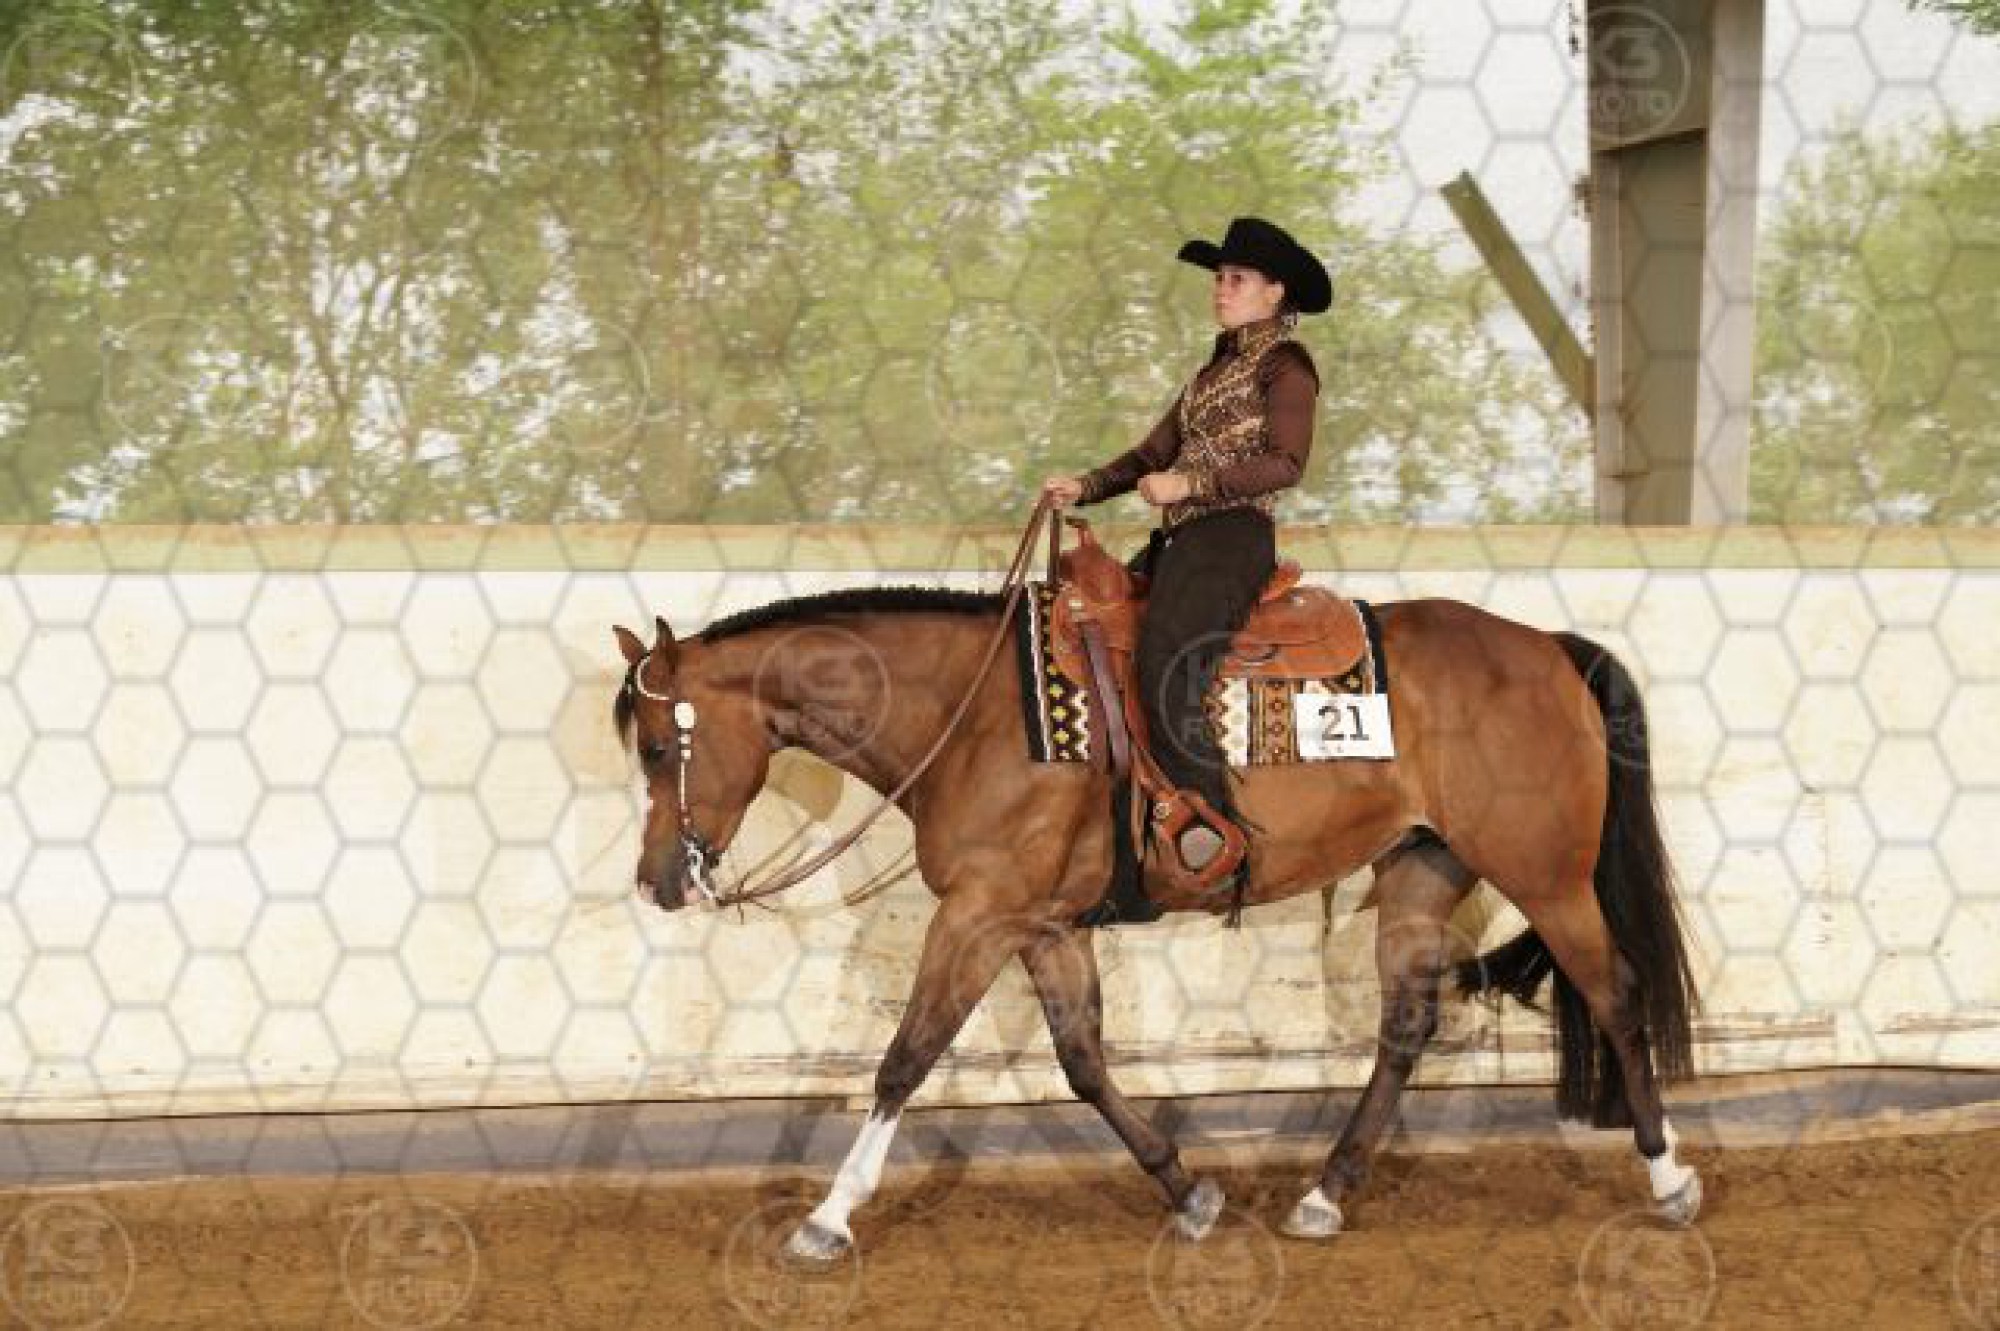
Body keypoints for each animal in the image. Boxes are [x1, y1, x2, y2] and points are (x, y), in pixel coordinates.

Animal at [609, 520, 1703, 1262]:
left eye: (660, 746)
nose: (658, 879)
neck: (971, 710)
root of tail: (1548, 646)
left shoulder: (978, 914)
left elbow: (904, 1059)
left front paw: (827, 1218)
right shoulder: (1043, 923)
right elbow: (1084, 1061)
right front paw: (1188, 1192)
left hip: (1546, 873)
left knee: (1615, 994)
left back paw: (1669, 1175)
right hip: (1421, 867)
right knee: (1404, 1025)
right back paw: (1325, 1193)